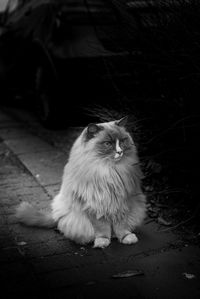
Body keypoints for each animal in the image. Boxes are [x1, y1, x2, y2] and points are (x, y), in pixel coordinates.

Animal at [15, 116, 146, 248]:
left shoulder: (123, 202)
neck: (109, 170)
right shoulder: (94, 206)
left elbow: (121, 226)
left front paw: (125, 237)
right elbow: (102, 228)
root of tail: (55, 215)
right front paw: (102, 241)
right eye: (108, 144)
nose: (120, 152)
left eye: (123, 141)